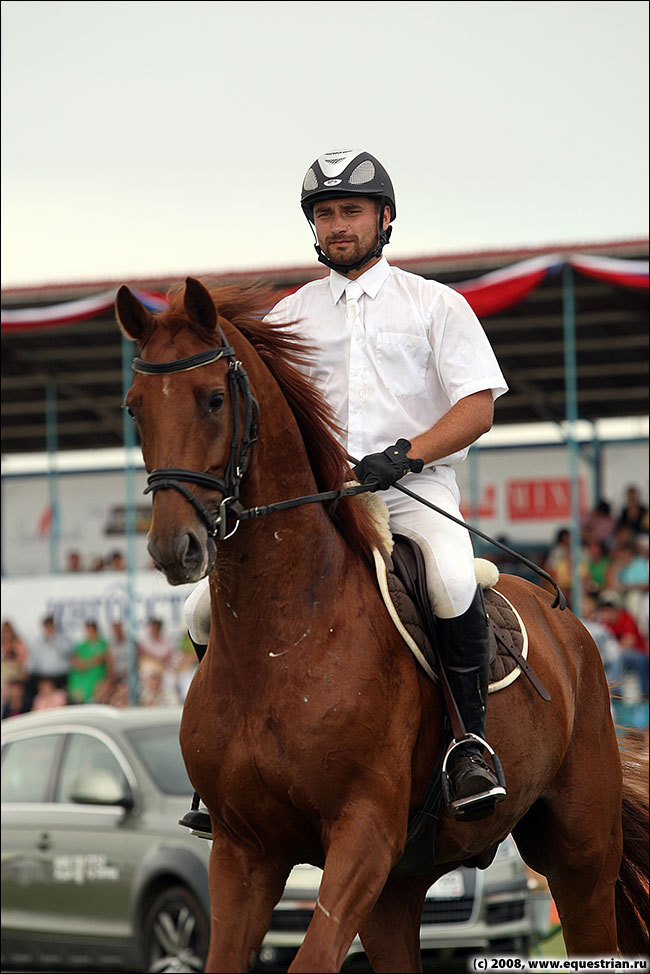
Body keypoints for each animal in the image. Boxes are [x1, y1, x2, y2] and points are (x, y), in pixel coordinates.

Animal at [117, 278, 648, 972]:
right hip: (400, 886)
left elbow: (312, 958)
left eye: (212, 399)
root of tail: (567, 625)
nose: (172, 548)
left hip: (580, 853)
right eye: (135, 409)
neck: (282, 640)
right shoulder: (243, 848)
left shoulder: (363, 832)